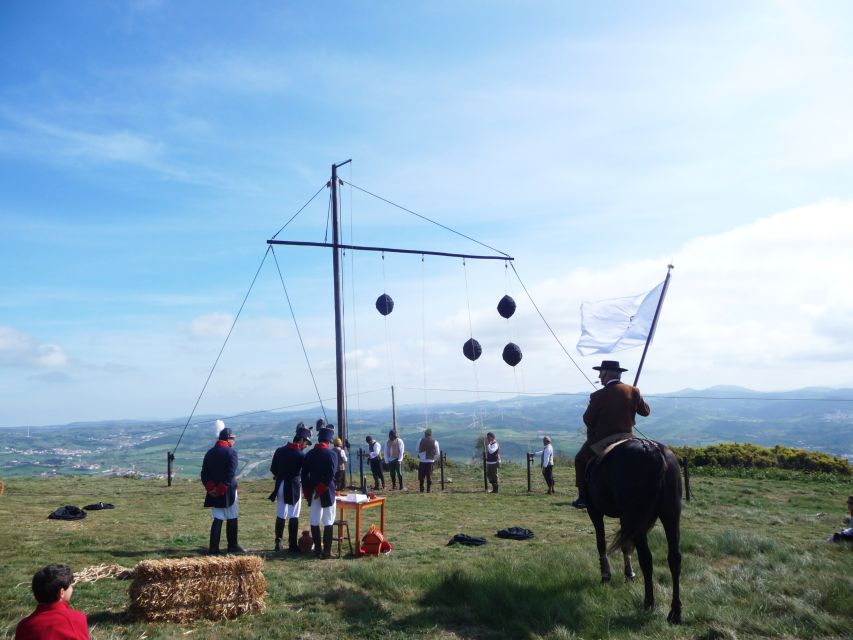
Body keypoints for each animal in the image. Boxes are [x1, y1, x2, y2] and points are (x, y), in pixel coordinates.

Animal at [584, 438, 684, 624]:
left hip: (638, 517)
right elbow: (626, 547)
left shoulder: (594, 511)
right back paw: (675, 612)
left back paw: (649, 603)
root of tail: (653, 450)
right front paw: (629, 574)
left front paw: (606, 574)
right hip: (670, 515)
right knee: (674, 558)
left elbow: (601, 542)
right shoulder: (627, 521)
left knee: (646, 559)